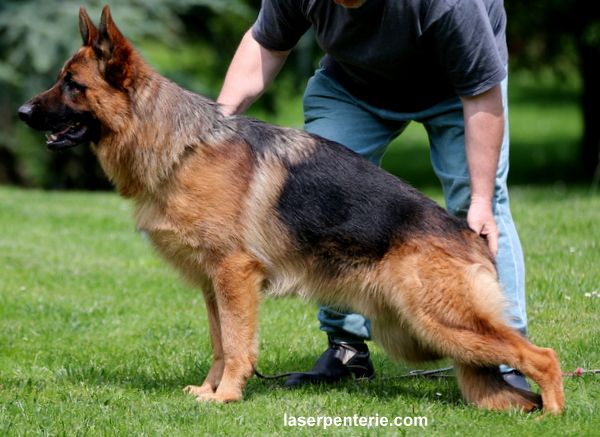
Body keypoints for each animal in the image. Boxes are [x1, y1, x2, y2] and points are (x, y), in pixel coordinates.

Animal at [17, 5, 564, 412]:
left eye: (72, 84)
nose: (21, 112)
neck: (179, 146)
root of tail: (469, 235)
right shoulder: (213, 284)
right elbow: (220, 342)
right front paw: (208, 389)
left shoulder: (234, 275)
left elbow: (238, 344)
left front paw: (226, 397)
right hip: (415, 333)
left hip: (437, 322)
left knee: (542, 355)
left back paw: (553, 413)